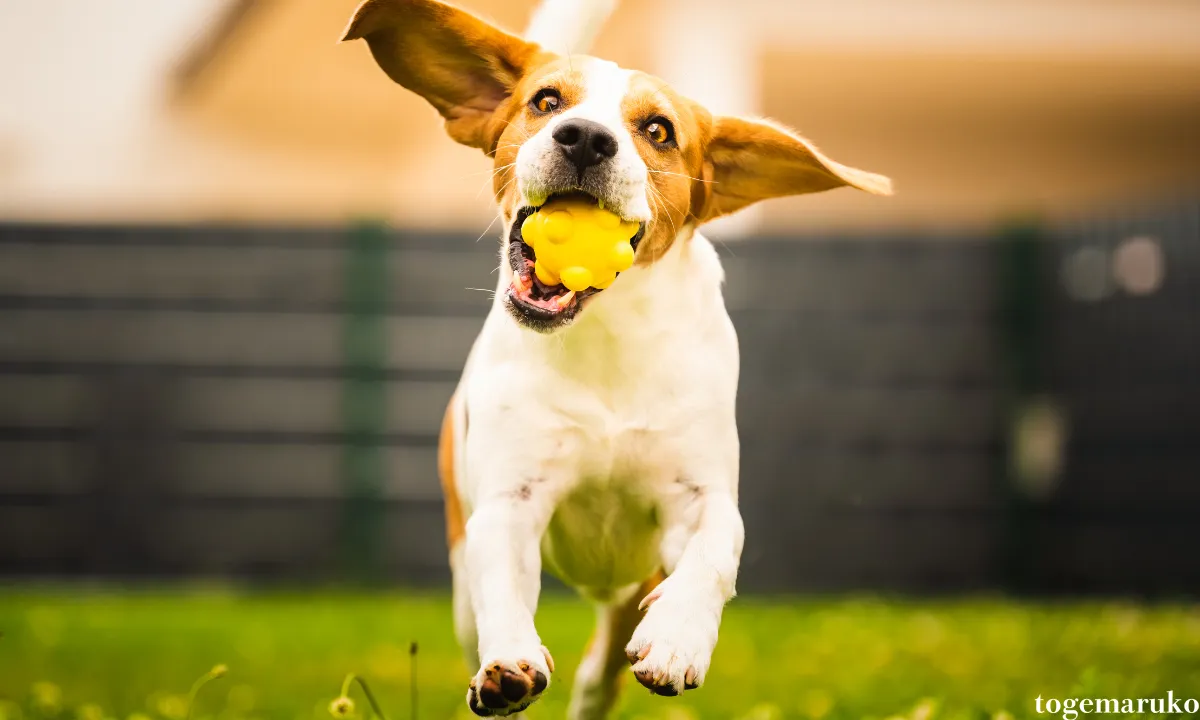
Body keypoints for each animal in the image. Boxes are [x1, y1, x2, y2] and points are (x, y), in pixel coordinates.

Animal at [338, 1, 892, 715]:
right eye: (547, 101)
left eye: (658, 130)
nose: (584, 138)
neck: (606, 339)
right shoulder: (509, 502)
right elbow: (503, 582)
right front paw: (509, 662)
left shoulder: (700, 497)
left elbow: (715, 552)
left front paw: (678, 640)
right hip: (464, 586)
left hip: (632, 583)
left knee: (603, 666)